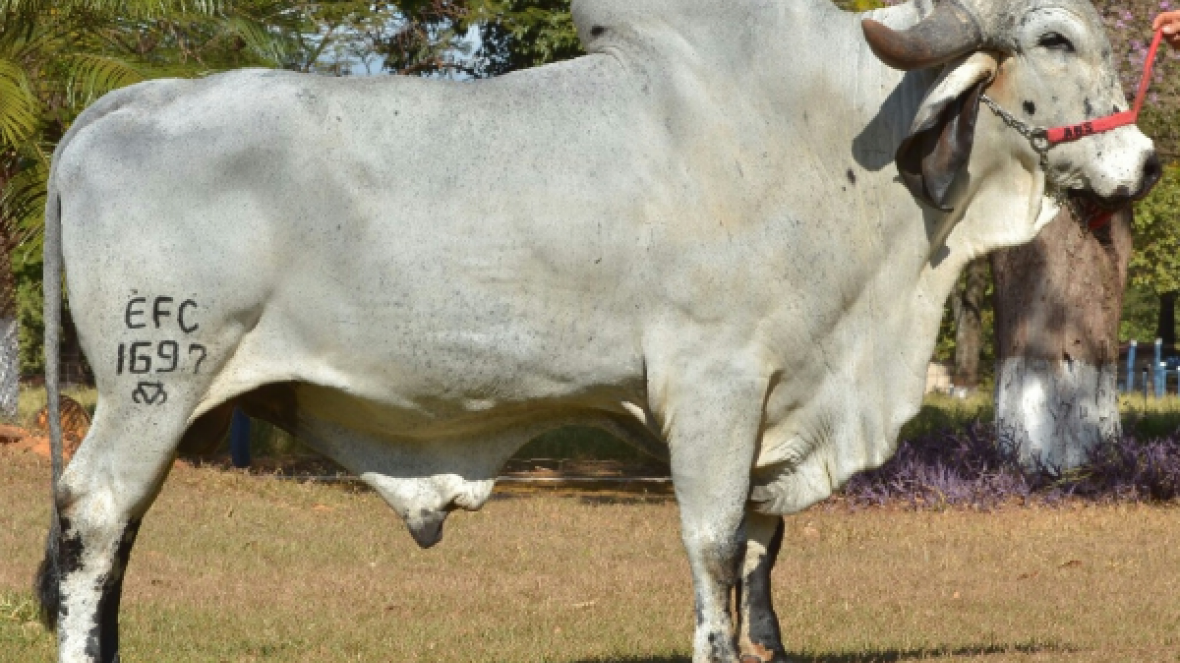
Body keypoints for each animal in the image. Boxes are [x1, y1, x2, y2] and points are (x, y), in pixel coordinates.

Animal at [34, 0, 1158, 661]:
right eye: (1053, 41)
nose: (1144, 161)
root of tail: (126, 103)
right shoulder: (714, 389)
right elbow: (714, 551)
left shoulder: (772, 413)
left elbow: (761, 553)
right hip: (156, 375)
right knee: (97, 515)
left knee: (118, 532)